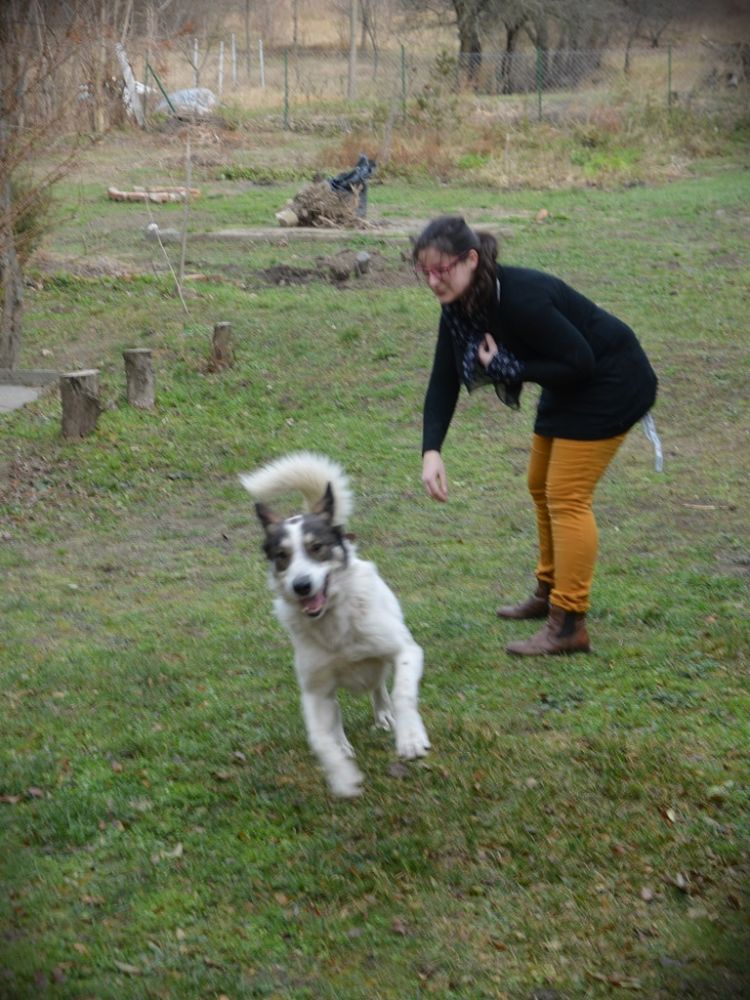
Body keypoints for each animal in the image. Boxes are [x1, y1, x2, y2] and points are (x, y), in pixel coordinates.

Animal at [239, 452, 430, 797]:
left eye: (317, 547)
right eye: (282, 555)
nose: (301, 585)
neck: (333, 625)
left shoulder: (405, 650)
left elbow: (403, 693)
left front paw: (410, 738)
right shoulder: (314, 690)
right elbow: (320, 739)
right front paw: (341, 774)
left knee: (379, 686)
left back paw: (384, 714)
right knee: (336, 716)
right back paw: (343, 745)